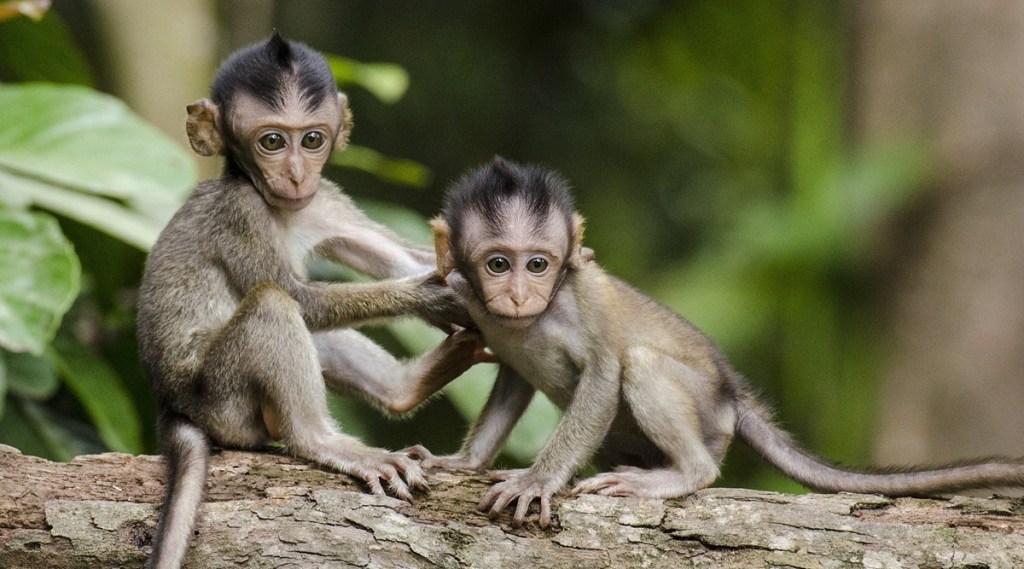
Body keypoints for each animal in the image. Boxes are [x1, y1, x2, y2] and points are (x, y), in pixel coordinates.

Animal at [137, 34, 484, 569]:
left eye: (313, 140)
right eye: (272, 142)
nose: (297, 175)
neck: (279, 207)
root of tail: (171, 404)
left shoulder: (325, 201)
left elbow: (401, 257)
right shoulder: (240, 212)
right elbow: (301, 298)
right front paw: (429, 296)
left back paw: (406, 387)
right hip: (222, 401)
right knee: (273, 304)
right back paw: (321, 440)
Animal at [406, 157, 1024, 529]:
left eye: (538, 264)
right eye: (498, 264)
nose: (517, 295)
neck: (528, 320)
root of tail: (733, 394)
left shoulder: (579, 298)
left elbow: (605, 373)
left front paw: (538, 479)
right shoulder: (474, 305)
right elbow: (512, 378)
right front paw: (463, 462)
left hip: (708, 413)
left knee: (642, 365)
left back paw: (686, 473)